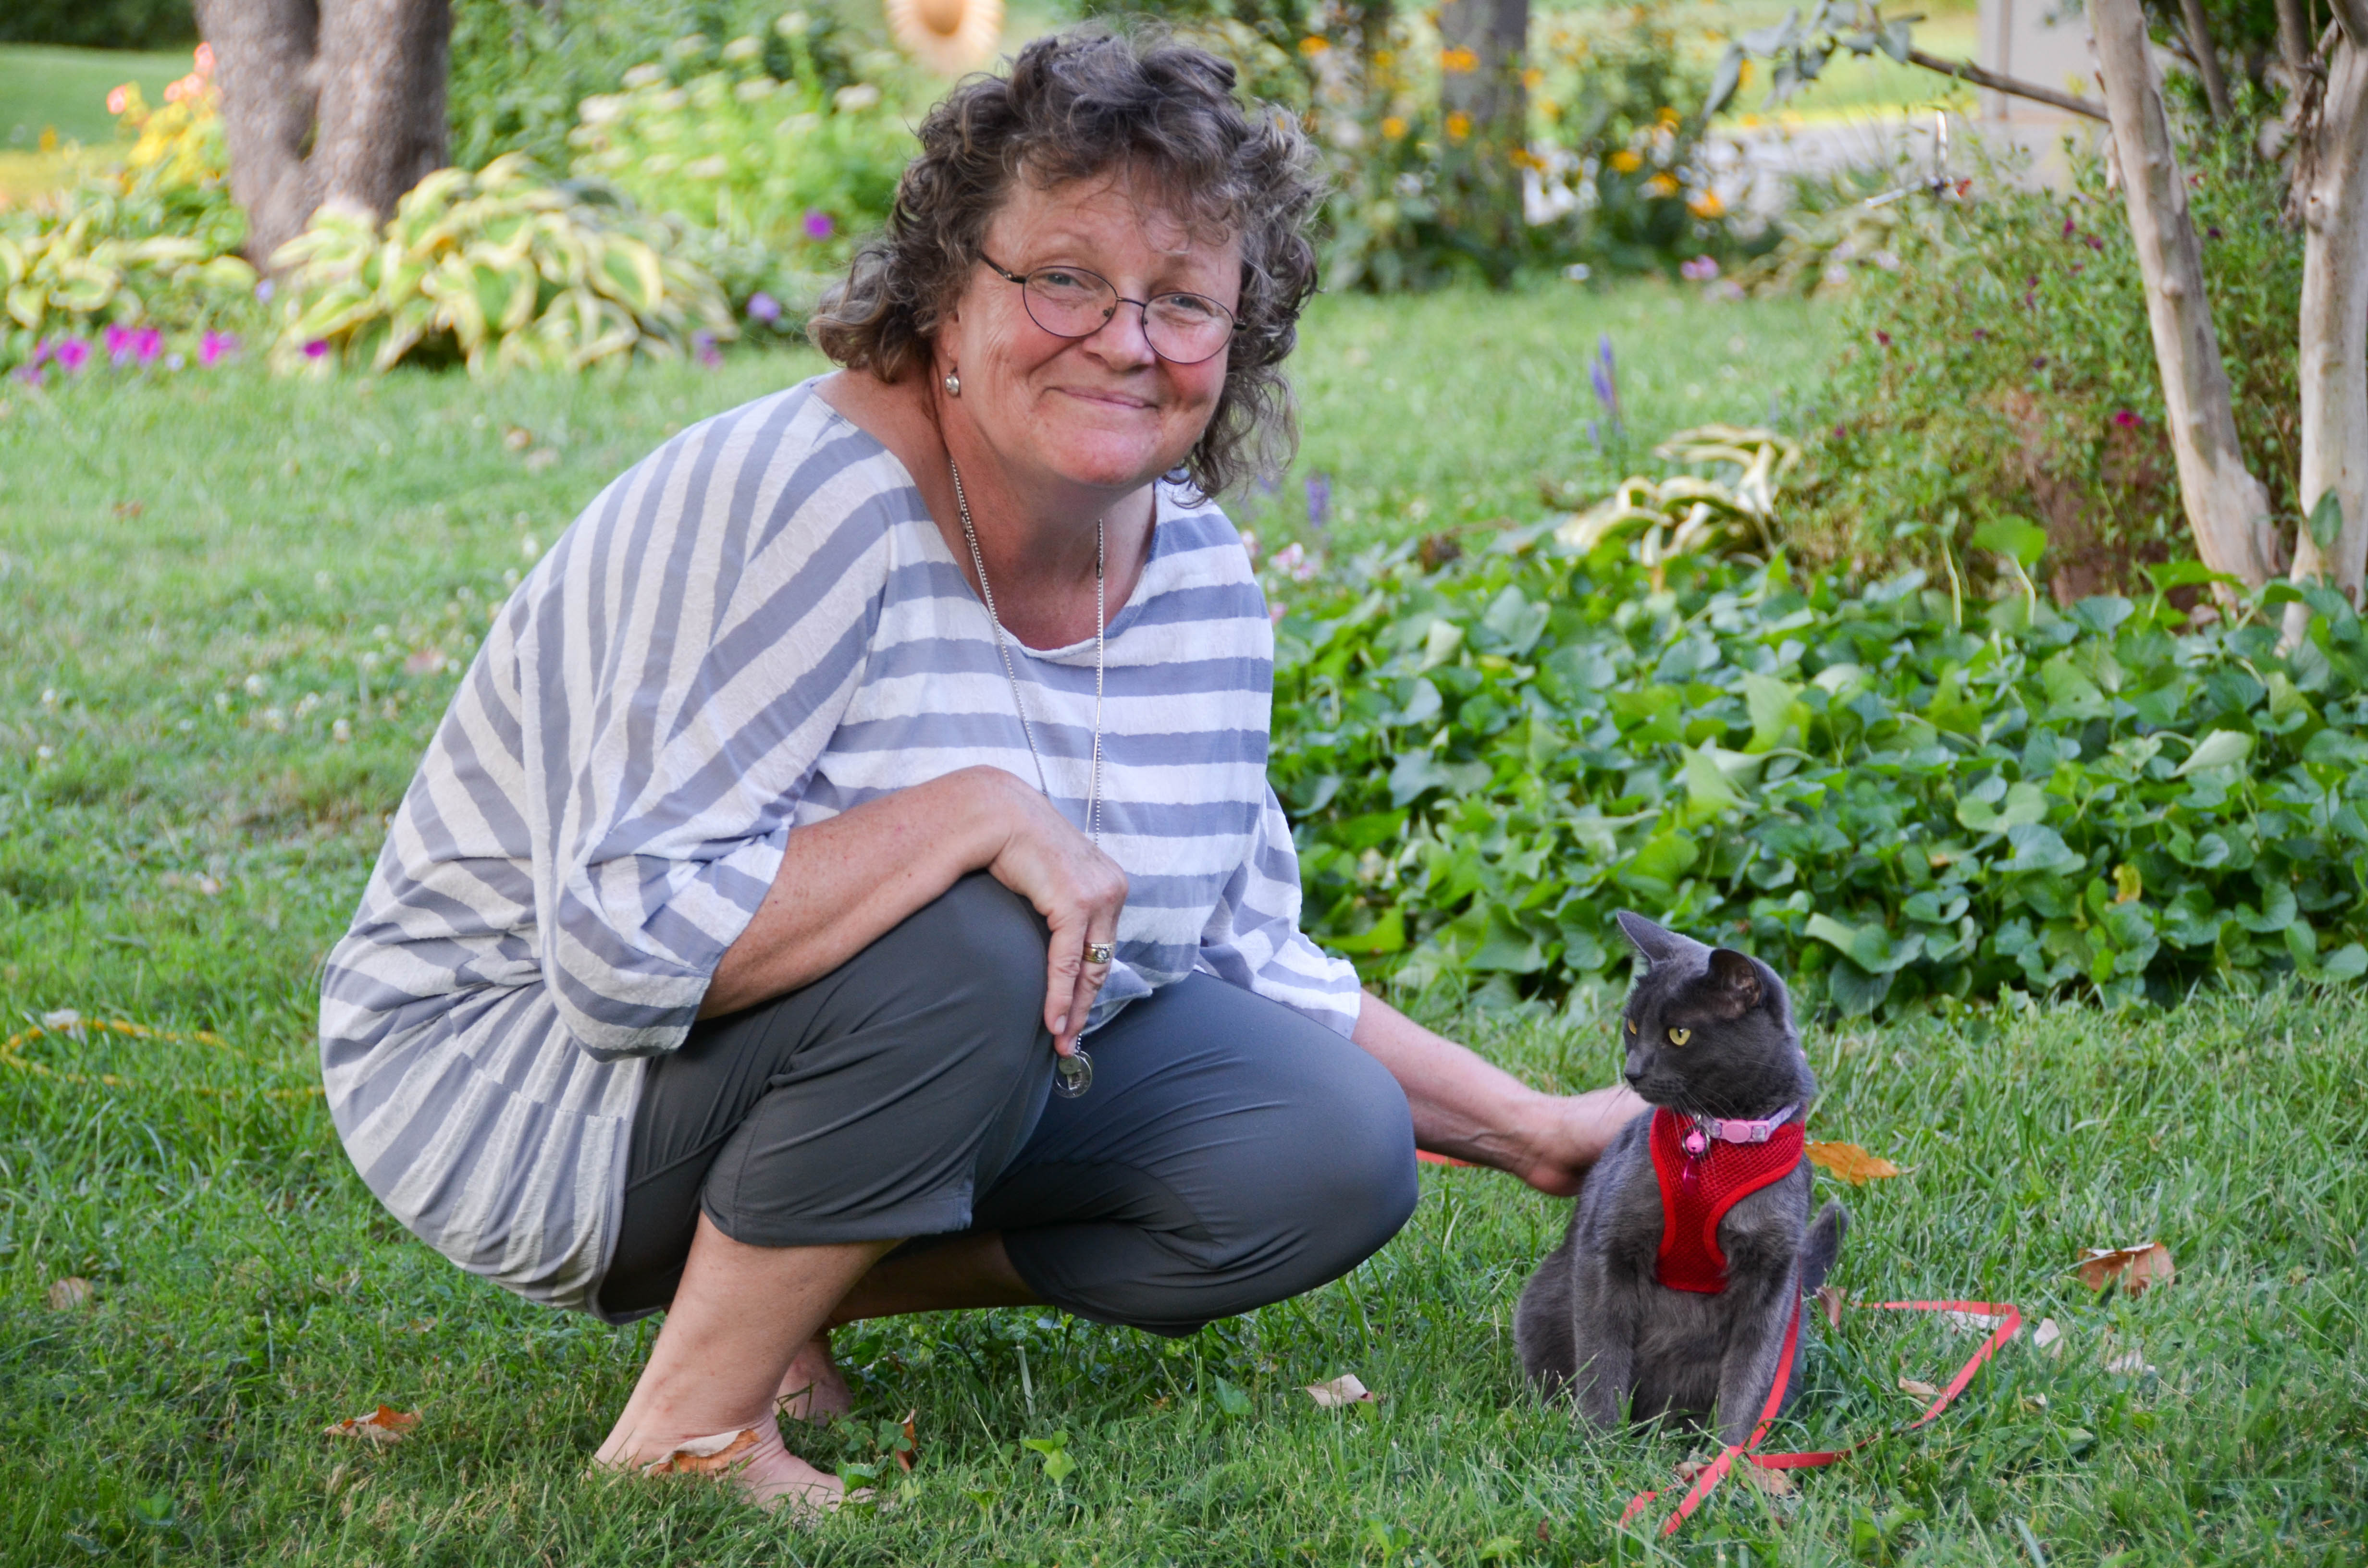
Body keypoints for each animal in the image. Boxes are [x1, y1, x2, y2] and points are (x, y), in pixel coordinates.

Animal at [1515, 914, 1847, 1459]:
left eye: (1679, 1034)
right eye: (1631, 1026)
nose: (1631, 1071)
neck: (1717, 1138)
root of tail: (1658, 1421)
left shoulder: (1772, 1276)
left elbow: (1749, 1377)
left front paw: (1730, 1459)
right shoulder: (1608, 1247)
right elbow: (1602, 1357)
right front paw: (1598, 1447)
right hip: (1543, 1300)